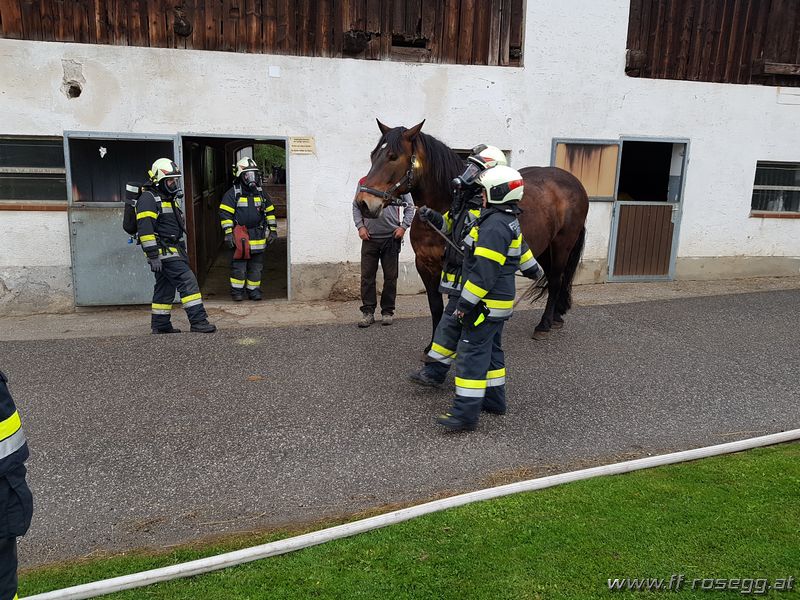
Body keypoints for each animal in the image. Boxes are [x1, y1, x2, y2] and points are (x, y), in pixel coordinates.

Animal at [356, 119, 588, 350]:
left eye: (393, 157)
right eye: (373, 155)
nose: (363, 203)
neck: (447, 204)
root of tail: (573, 182)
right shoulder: (425, 265)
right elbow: (435, 306)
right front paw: (432, 345)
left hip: (562, 246)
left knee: (556, 280)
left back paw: (544, 325)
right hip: (543, 248)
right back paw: (556, 317)